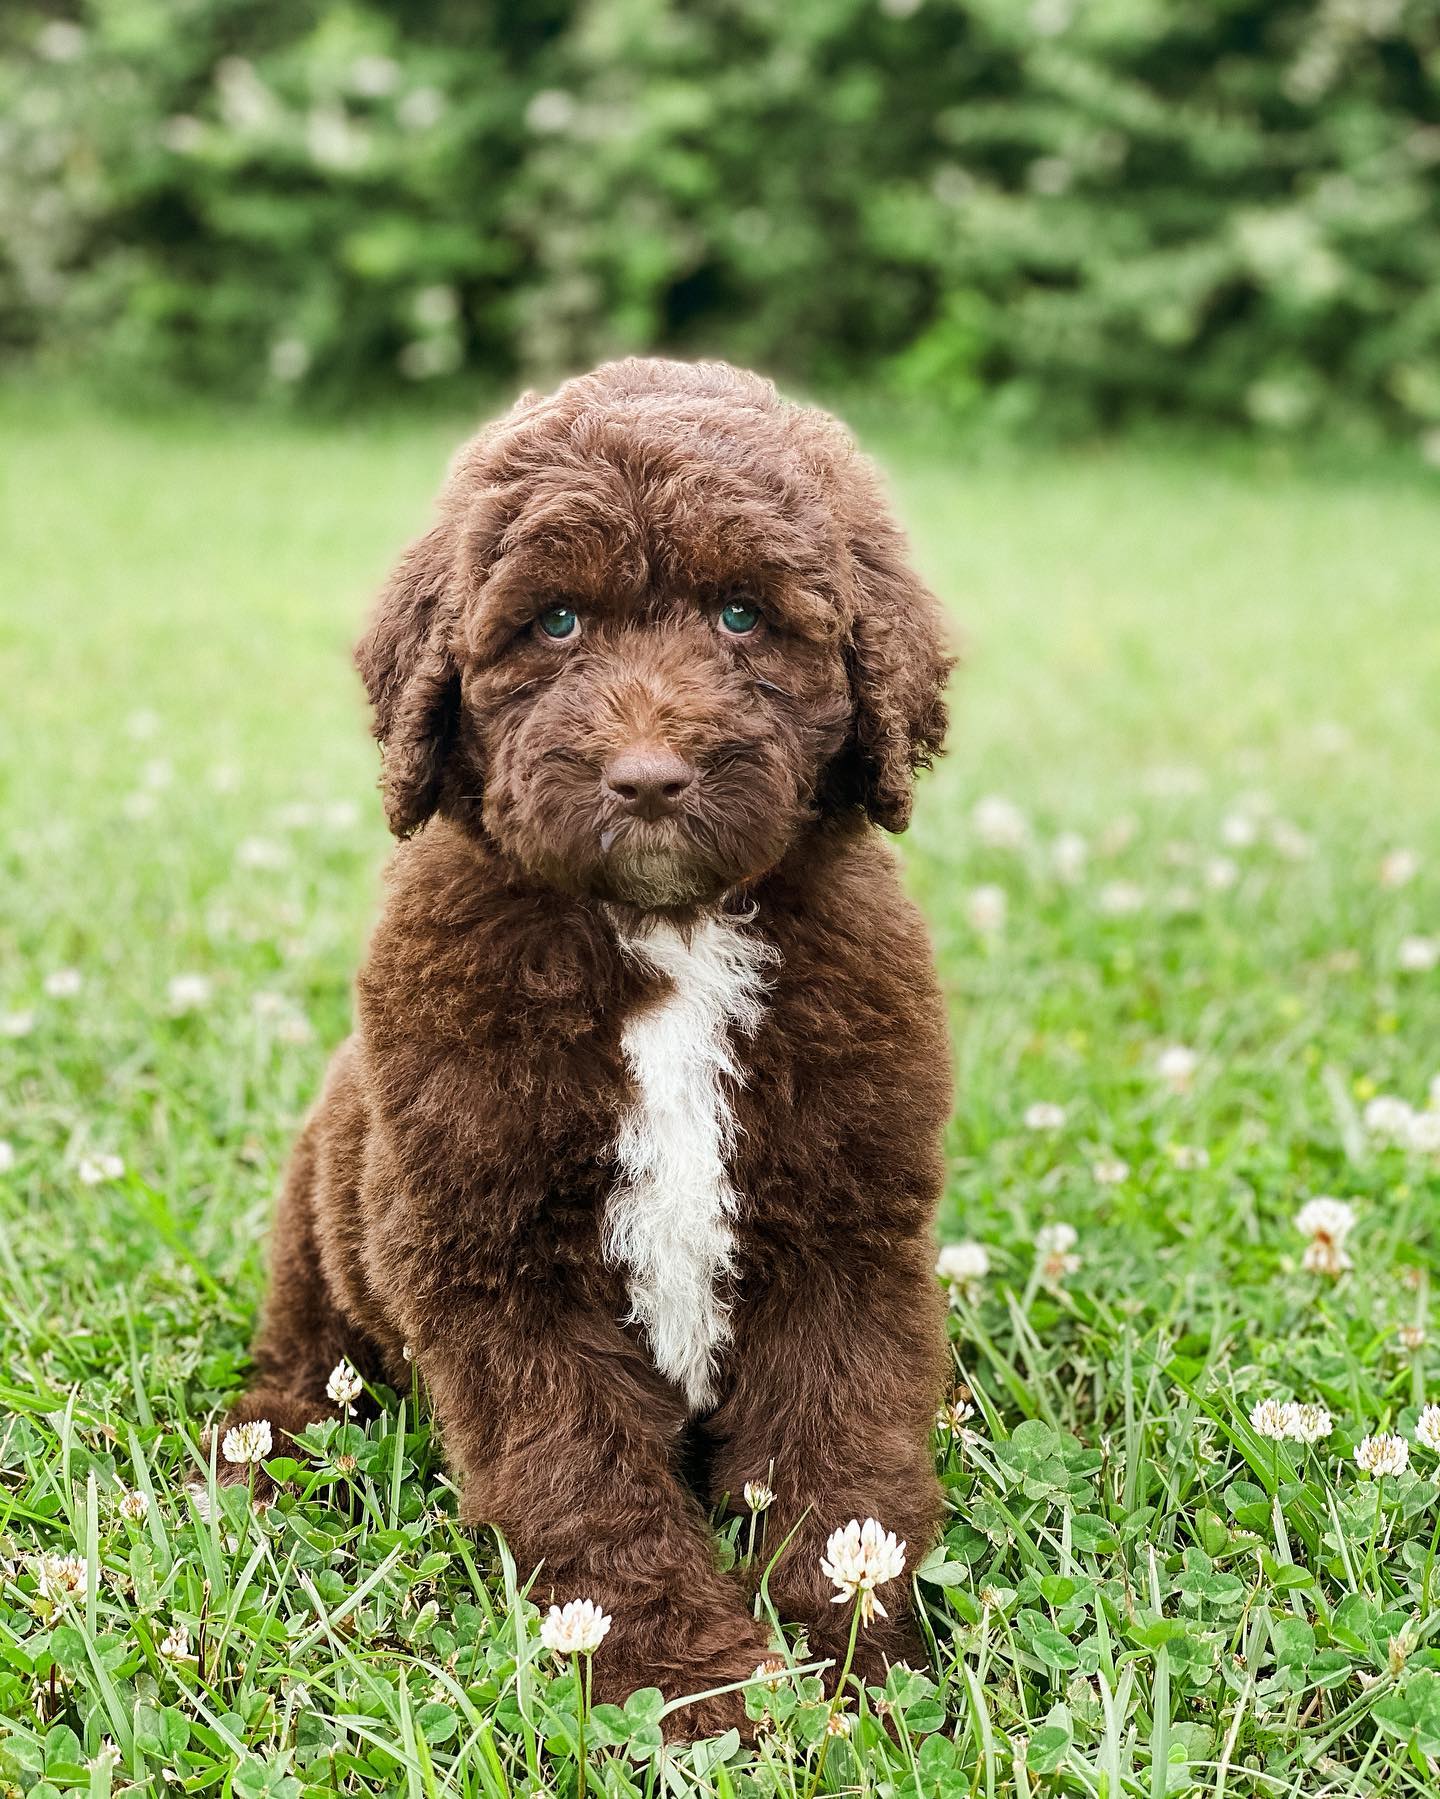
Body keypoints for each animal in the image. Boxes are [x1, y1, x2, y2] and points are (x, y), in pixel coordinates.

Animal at [219, 358, 950, 1734]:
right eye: (555, 623)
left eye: (740, 614)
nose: (650, 776)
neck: (663, 931)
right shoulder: (493, 1249)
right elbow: (585, 1475)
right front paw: (686, 1679)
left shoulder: (845, 1227)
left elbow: (840, 1454)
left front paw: (863, 1659)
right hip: (324, 1203)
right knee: (301, 1350)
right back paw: (264, 1448)